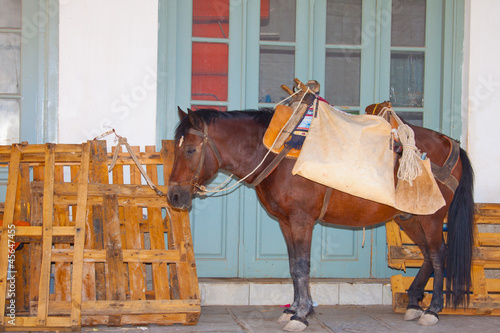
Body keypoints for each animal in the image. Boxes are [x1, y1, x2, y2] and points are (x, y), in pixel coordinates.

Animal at [167, 102, 472, 330]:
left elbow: (302, 266)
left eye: (190, 149)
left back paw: (433, 310)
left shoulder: (301, 220)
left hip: (432, 217)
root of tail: (451, 144)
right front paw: (294, 309)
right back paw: (414, 302)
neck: (277, 151)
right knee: (426, 253)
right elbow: (294, 266)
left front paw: (301, 314)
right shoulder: (286, 222)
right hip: (410, 217)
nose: (173, 196)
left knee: (438, 254)